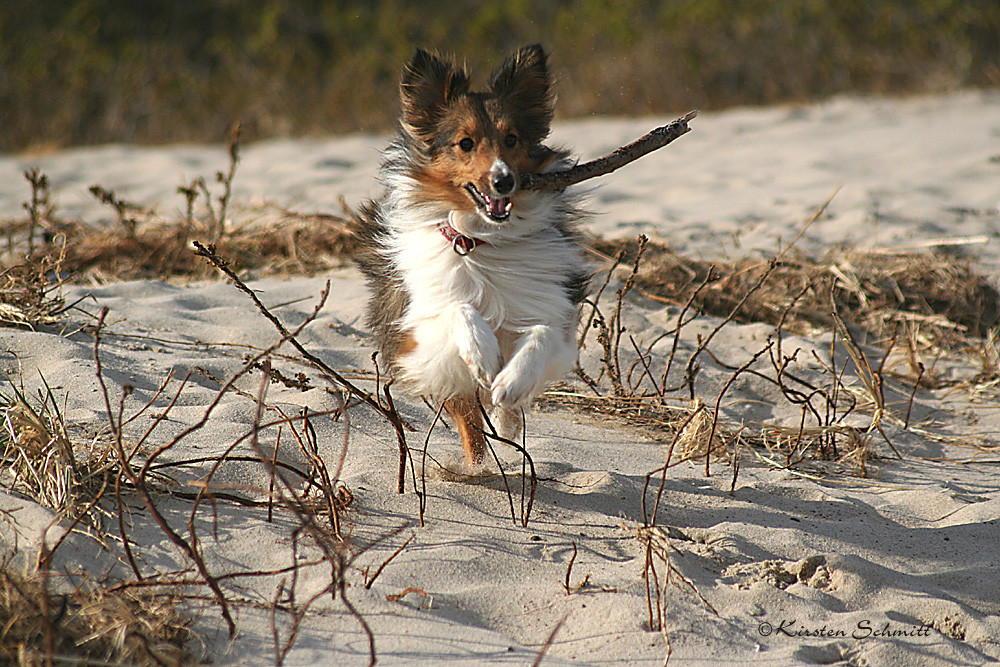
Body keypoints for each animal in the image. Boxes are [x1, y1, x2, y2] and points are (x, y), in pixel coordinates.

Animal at [356, 44, 588, 468]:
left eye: (512, 139)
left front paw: (512, 381)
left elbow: (542, 332)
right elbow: (458, 308)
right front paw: (483, 354)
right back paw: (477, 466)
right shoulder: (415, 337)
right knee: (469, 422)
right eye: (466, 143)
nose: (503, 181)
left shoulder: (550, 312)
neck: (481, 241)